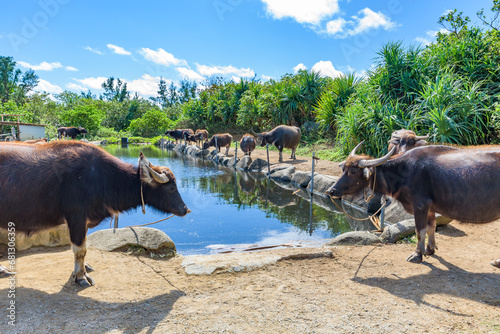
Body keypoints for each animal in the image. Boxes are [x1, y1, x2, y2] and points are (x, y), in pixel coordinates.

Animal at [0, 142, 190, 288]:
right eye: (172, 188)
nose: (185, 209)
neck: (99, 177)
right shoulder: (76, 217)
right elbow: (80, 249)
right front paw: (81, 277)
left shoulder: (83, 222)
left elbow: (83, 249)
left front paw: (83, 268)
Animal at [328, 142, 500, 268]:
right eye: (344, 169)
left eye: (352, 171)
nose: (331, 190)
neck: (404, 171)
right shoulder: (430, 208)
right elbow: (431, 227)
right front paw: (430, 250)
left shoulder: (420, 205)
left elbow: (419, 230)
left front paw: (417, 255)